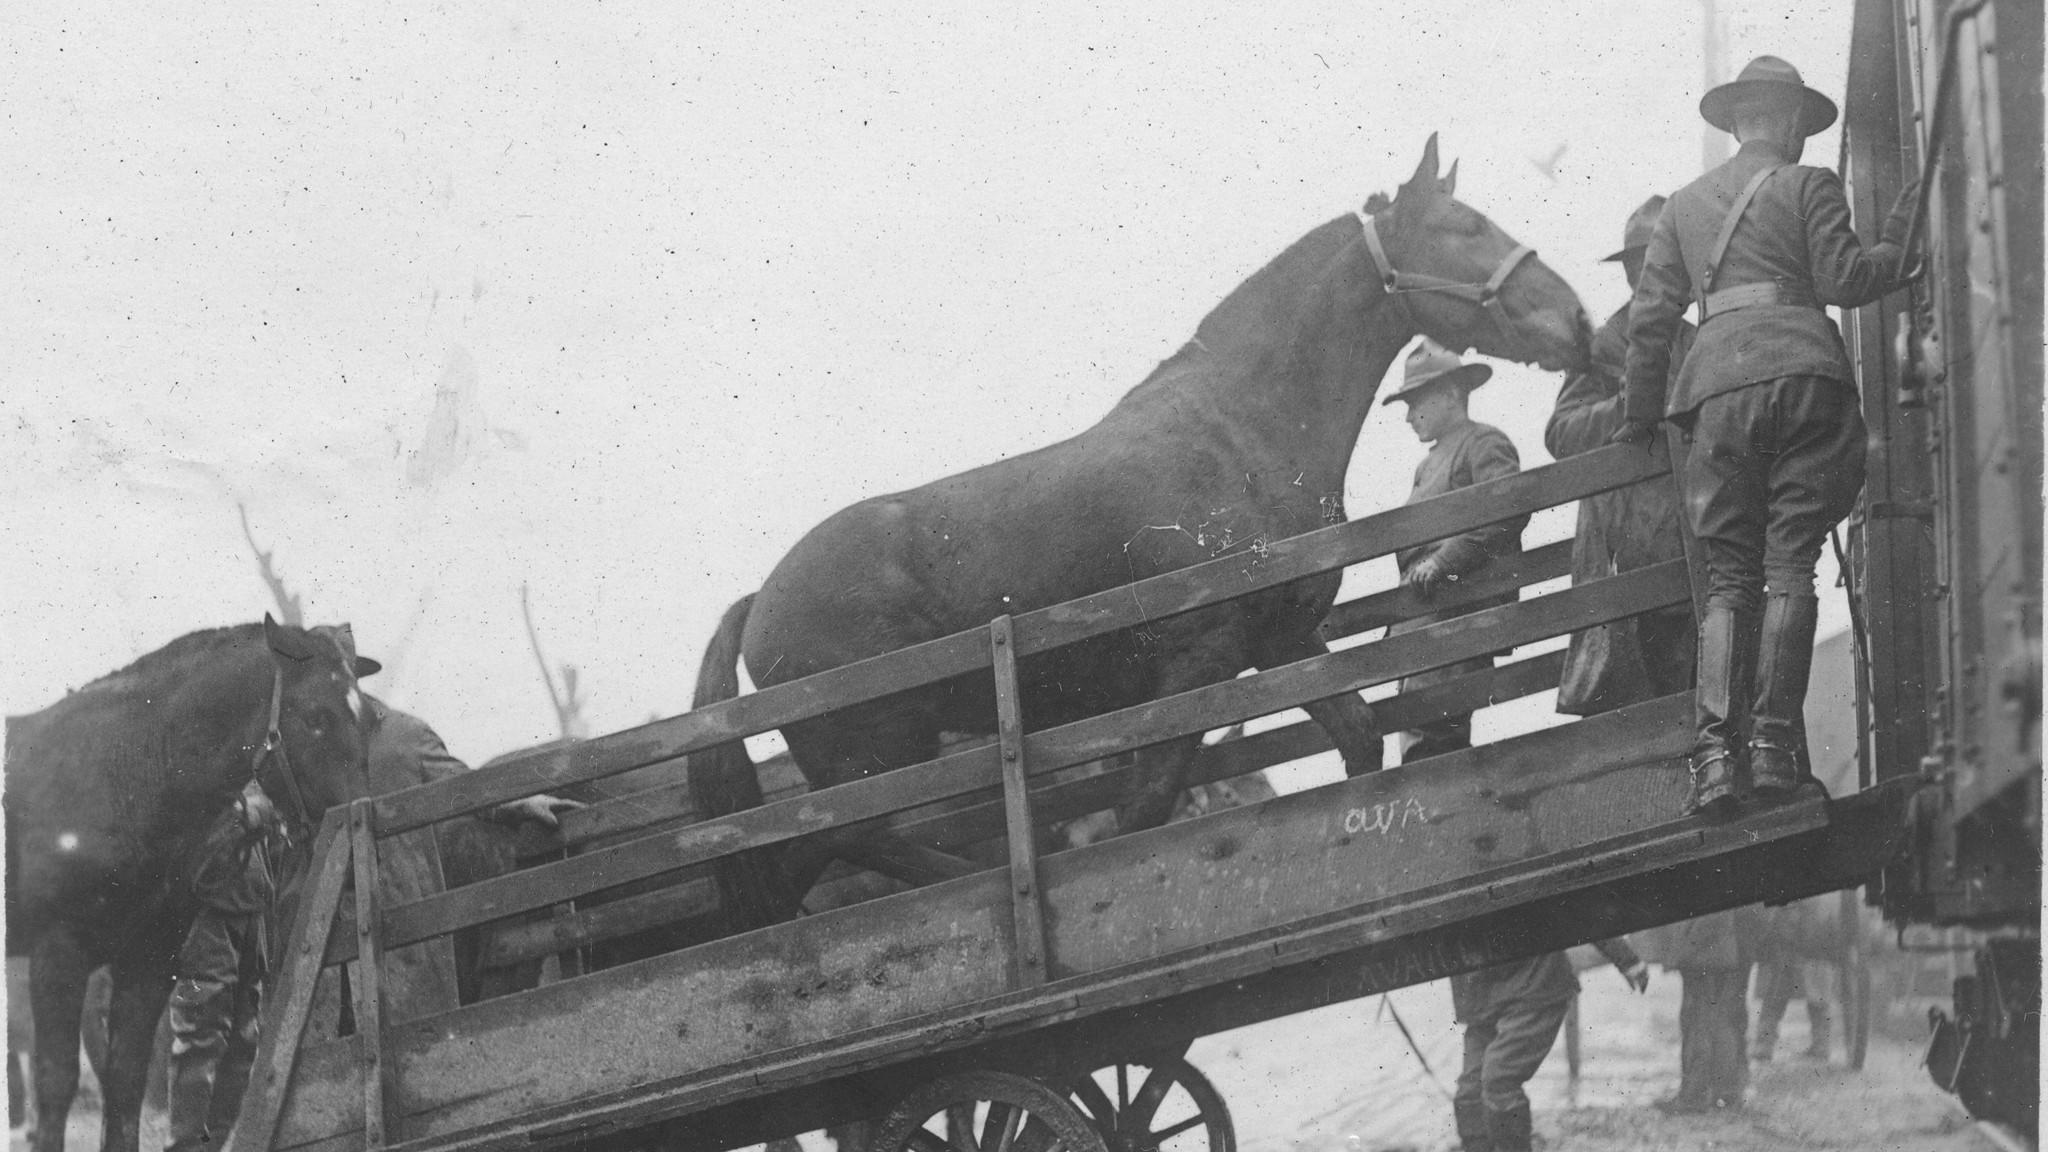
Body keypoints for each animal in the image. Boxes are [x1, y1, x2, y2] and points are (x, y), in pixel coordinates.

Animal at [4, 617, 373, 1152]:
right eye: (315, 716)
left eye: (369, 718)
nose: (365, 812)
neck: (123, 775)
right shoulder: (58, 952)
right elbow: (56, 1083)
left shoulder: (148, 961)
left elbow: (125, 1085)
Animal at [688, 135, 1593, 927]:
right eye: (1464, 226)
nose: (1577, 322)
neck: (1237, 430)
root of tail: (760, 601)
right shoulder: (1192, 666)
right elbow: (1143, 814)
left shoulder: (1280, 638)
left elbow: (1362, 738)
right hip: (873, 760)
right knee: (829, 851)